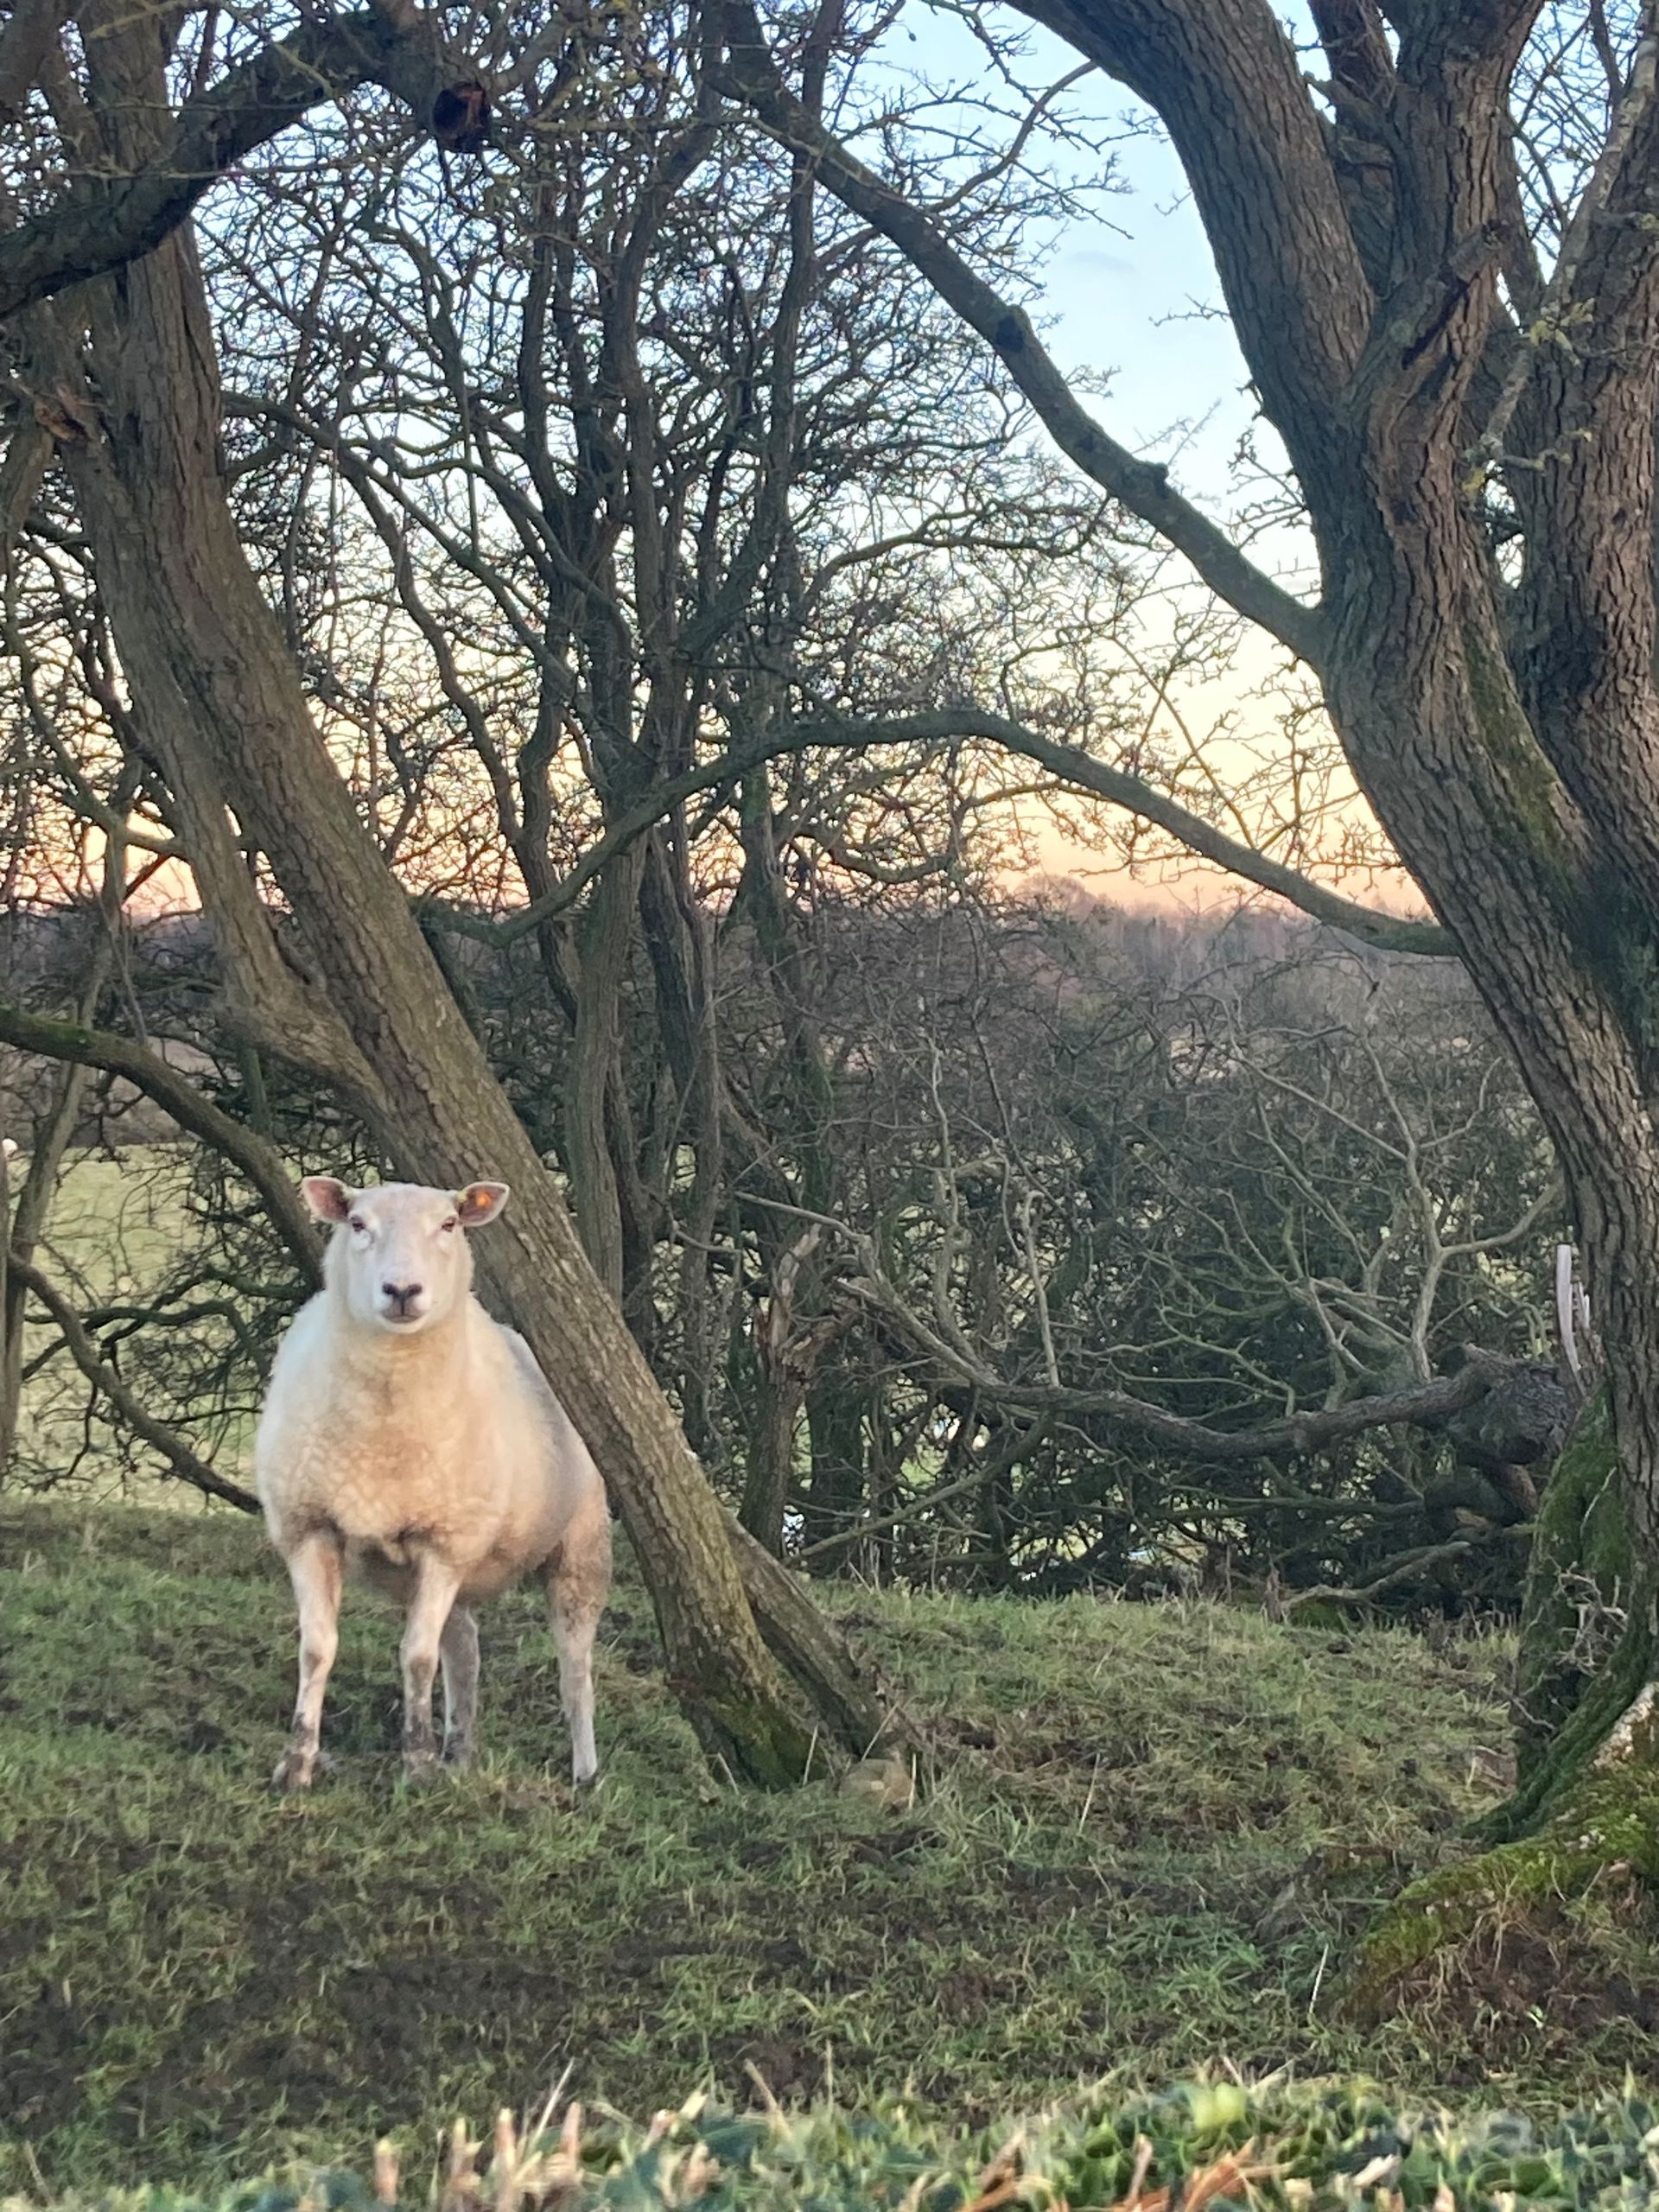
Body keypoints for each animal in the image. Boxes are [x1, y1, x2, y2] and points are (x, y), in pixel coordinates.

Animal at [255, 1175, 611, 1791]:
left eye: (448, 1225)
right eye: (357, 1224)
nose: (402, 1290)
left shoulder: (443, 1542)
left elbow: (416, 1657)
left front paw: (416, 1765)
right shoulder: (308, 1527)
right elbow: (317, 1649)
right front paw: (296, 1762)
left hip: (578, 1548)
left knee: (574, 1666)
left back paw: (583, 1772)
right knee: (464, 1648)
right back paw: (460, 1750)